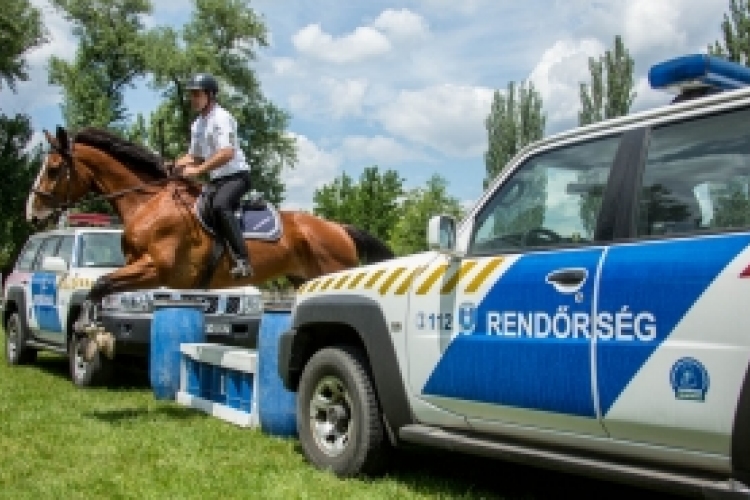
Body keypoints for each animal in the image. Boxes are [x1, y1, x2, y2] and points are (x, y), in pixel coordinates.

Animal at [26, 124, 396, 358]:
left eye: (54, 169)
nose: (32, 214)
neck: (148, 201)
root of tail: (339, 228)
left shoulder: (156, 269)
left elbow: (100, 284)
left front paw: (90, 337)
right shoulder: (135, 266)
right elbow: (99, 287)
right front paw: (93, 333)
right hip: (303, 279)